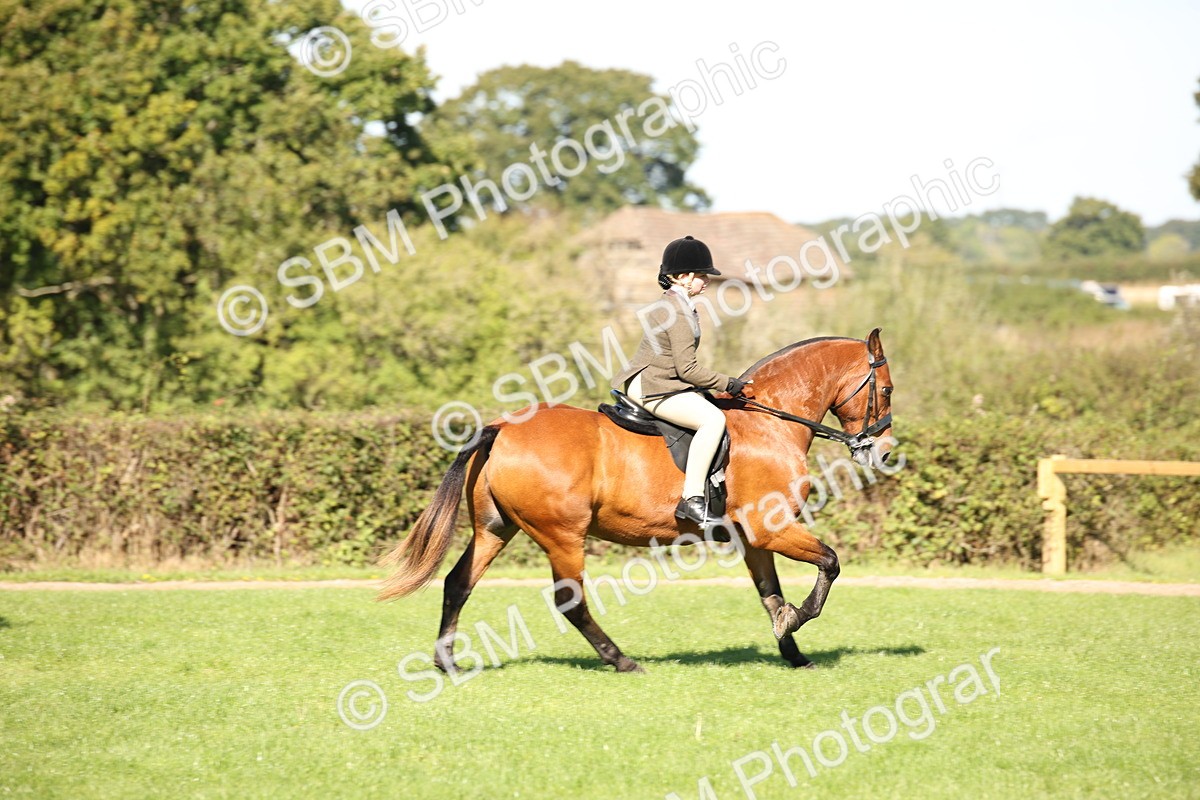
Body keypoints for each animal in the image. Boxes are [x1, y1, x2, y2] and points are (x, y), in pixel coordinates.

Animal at [379, 328, 895, 673]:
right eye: (886, 389)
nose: (885, 452)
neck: (770, 423)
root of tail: (502, 428)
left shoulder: (754, 538)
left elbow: (770, 593)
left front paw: (792, 648)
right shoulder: (772, 528)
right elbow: (829, 563)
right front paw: (799, 620)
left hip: (495, 529)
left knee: (457, 584)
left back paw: (447, 662)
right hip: (562, 535)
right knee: (570, 602)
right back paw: (621, 660)